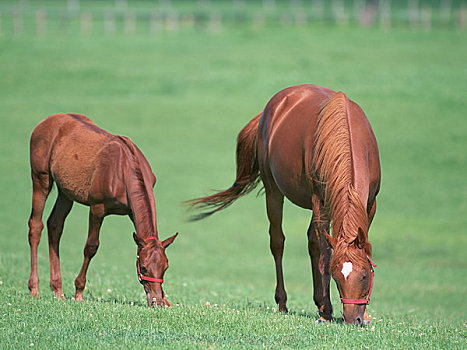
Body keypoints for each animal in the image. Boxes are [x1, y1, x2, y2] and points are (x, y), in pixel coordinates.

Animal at [27, 114, 177, 306]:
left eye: (165, 266)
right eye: (143, 267)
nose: (156, 301)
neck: (124, 168)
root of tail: (45, 122)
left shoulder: (131, 212)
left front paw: (167, 301)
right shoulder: (97, 208)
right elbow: (91, 247)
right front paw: (79, 293)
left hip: (65, 192)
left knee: (55, 225)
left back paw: (57, 290)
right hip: (41, 179)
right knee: (36, 226)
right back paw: (34, 288)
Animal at [188, 85, 382, 326]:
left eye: (364, 275)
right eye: (337, 277)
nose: (352, 320)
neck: (346, 135)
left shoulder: (370, 204)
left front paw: (363, 314)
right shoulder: (320, 202)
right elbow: (325, 256)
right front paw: (327, 311)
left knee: (311, 241)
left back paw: (318, 302)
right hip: (273, 192)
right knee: (277, 242)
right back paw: (284, 303)